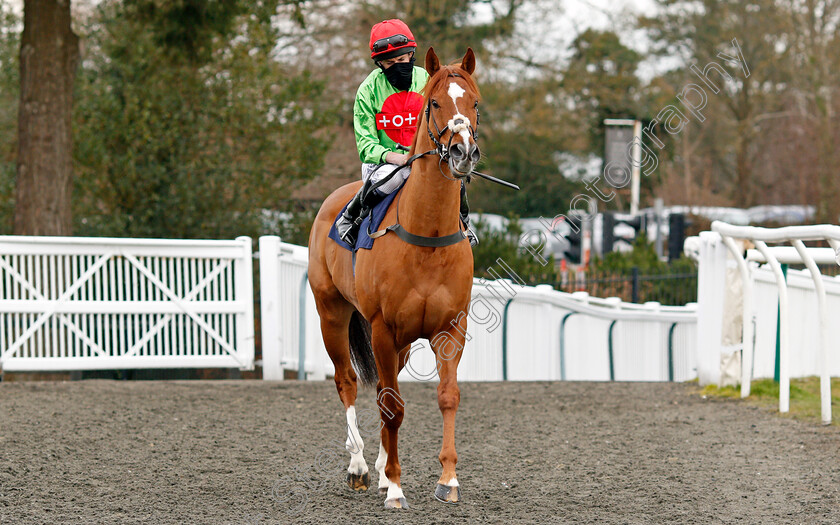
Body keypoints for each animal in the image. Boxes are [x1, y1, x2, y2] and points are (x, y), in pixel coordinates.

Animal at [306, 48, 480, 508]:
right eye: (434, 103)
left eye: (475, 102)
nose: (463, 151)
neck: (427, 236)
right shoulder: (381, 327)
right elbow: (392, 406)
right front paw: (397, 488)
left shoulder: (451, 328)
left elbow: (446, 397)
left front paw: (447, 480)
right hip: (332, 314)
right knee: (348, 382)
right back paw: (360, 468)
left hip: (398, 343)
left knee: (386, 385)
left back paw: (383, 469)